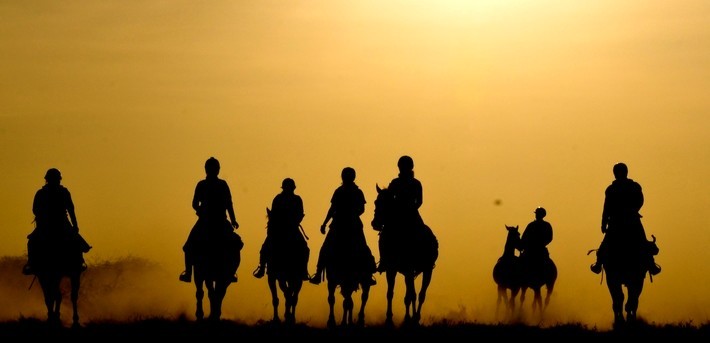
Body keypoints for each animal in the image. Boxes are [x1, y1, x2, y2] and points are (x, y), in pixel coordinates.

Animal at [372, 185, 440, 328]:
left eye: (386, 203)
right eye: (376, 202)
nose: (375, 224)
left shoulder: (411, 269)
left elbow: (414, 295)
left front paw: (412, 319)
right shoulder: (391, 269)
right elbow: (390, 293)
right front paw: (389, 320)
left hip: (427, 270)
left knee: (421, 294)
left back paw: (415, 318)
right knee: (409, 294)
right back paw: (408, 318)